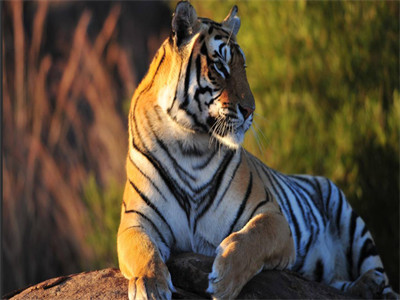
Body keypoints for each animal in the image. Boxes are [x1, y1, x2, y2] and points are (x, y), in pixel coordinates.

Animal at [116, 2, 396, 300]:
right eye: (220, 66)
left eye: (244, 67)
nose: (250, 110)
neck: (189, 143)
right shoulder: (136, 221)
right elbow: (143, 250)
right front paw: (150, 285)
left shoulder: (273, 216)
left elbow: (250, 240)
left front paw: (224, 279)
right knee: (337, 283)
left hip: (352, 223)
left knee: (380, 275)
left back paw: (373, 285)